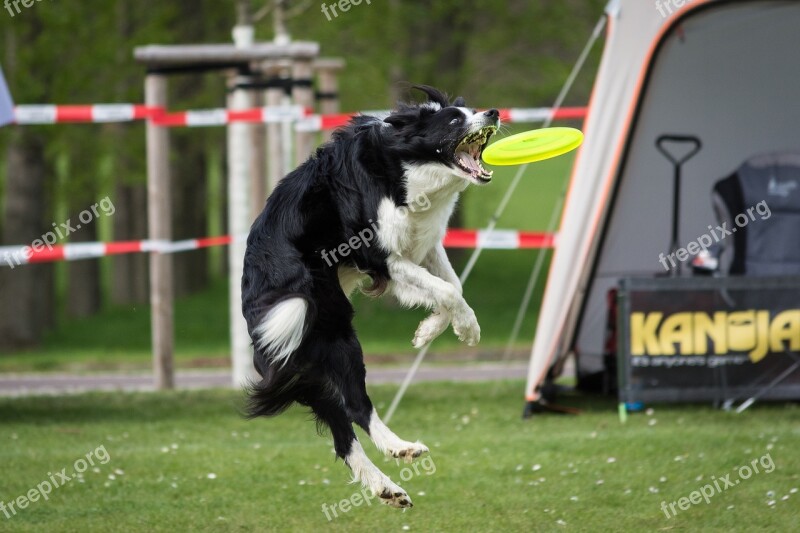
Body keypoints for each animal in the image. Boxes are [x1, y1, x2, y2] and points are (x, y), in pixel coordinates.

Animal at [241, 86, 496, 508]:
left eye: (471, 110)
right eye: (454, 120)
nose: (493, 112)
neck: (400, 168)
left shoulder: (419, 246)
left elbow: (451, 286)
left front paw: (432, 330)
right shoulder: (376, 254)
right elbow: (445, 288)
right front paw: (464, 327)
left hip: (309, 364)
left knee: (343, 436)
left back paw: (387, 488)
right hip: (333, 333)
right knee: (357, 406)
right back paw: (400, 447)